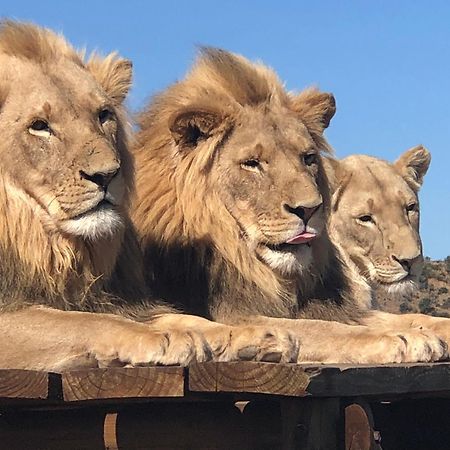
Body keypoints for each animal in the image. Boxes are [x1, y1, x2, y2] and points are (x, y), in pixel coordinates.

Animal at [0, 21, 302, 370]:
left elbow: (191, 320)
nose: (107, 175)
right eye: (39, 126)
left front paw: (257, 335)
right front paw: (164, 338)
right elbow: (86, 322)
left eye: (103, 115)